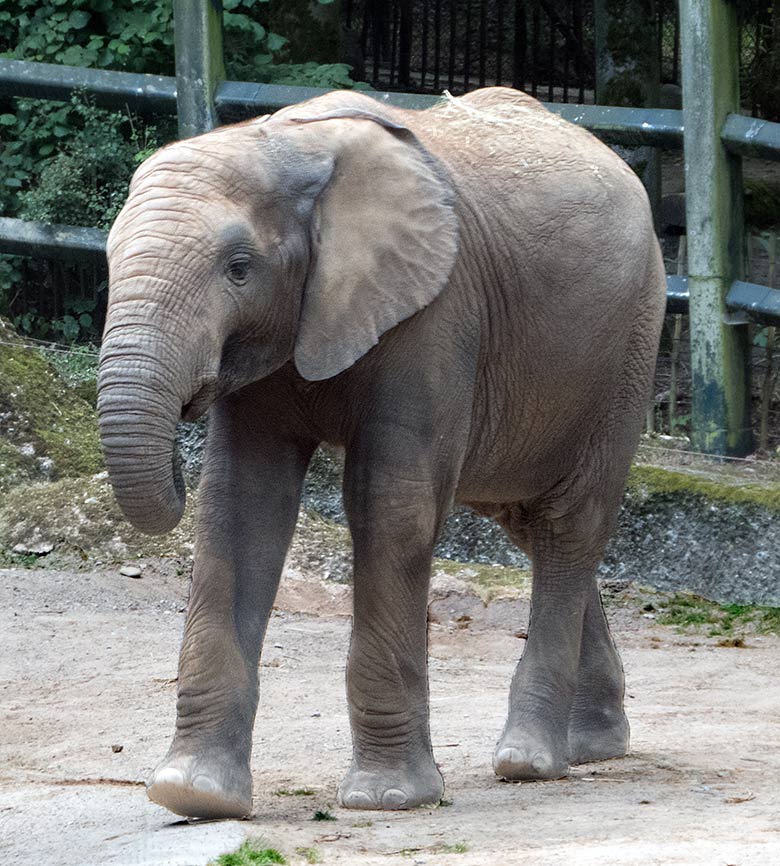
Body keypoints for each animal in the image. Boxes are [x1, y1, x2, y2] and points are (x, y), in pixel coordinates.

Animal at [97, 86, 668, 816]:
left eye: (238, 270)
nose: (181, 427)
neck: (283, 145)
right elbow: (240, 503)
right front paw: (194, 794)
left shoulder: (436, 311)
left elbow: (392, 504)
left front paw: (387, 798)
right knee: (527, 520)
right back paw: (593, 745)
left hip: (628, 341)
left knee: (569, 524)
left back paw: (530, 761)